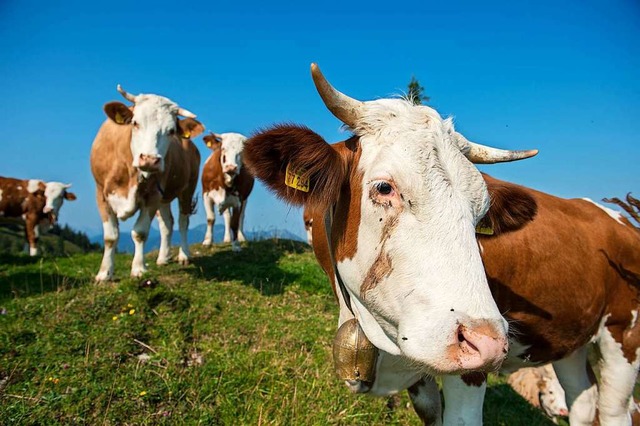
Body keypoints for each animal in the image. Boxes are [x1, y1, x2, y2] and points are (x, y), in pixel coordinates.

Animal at [90, 85, 204, 282]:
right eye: (135, 123)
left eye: (171, 130)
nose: (150, 159)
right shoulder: (101, 194)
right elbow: (110, 236)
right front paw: (104, 273)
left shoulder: (152, 196)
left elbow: (140, 233)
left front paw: (138, 269)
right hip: (165, 196)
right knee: (167, 223)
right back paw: (163, 258)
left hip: (187, 188)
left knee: (183, 221)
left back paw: (184, 255)